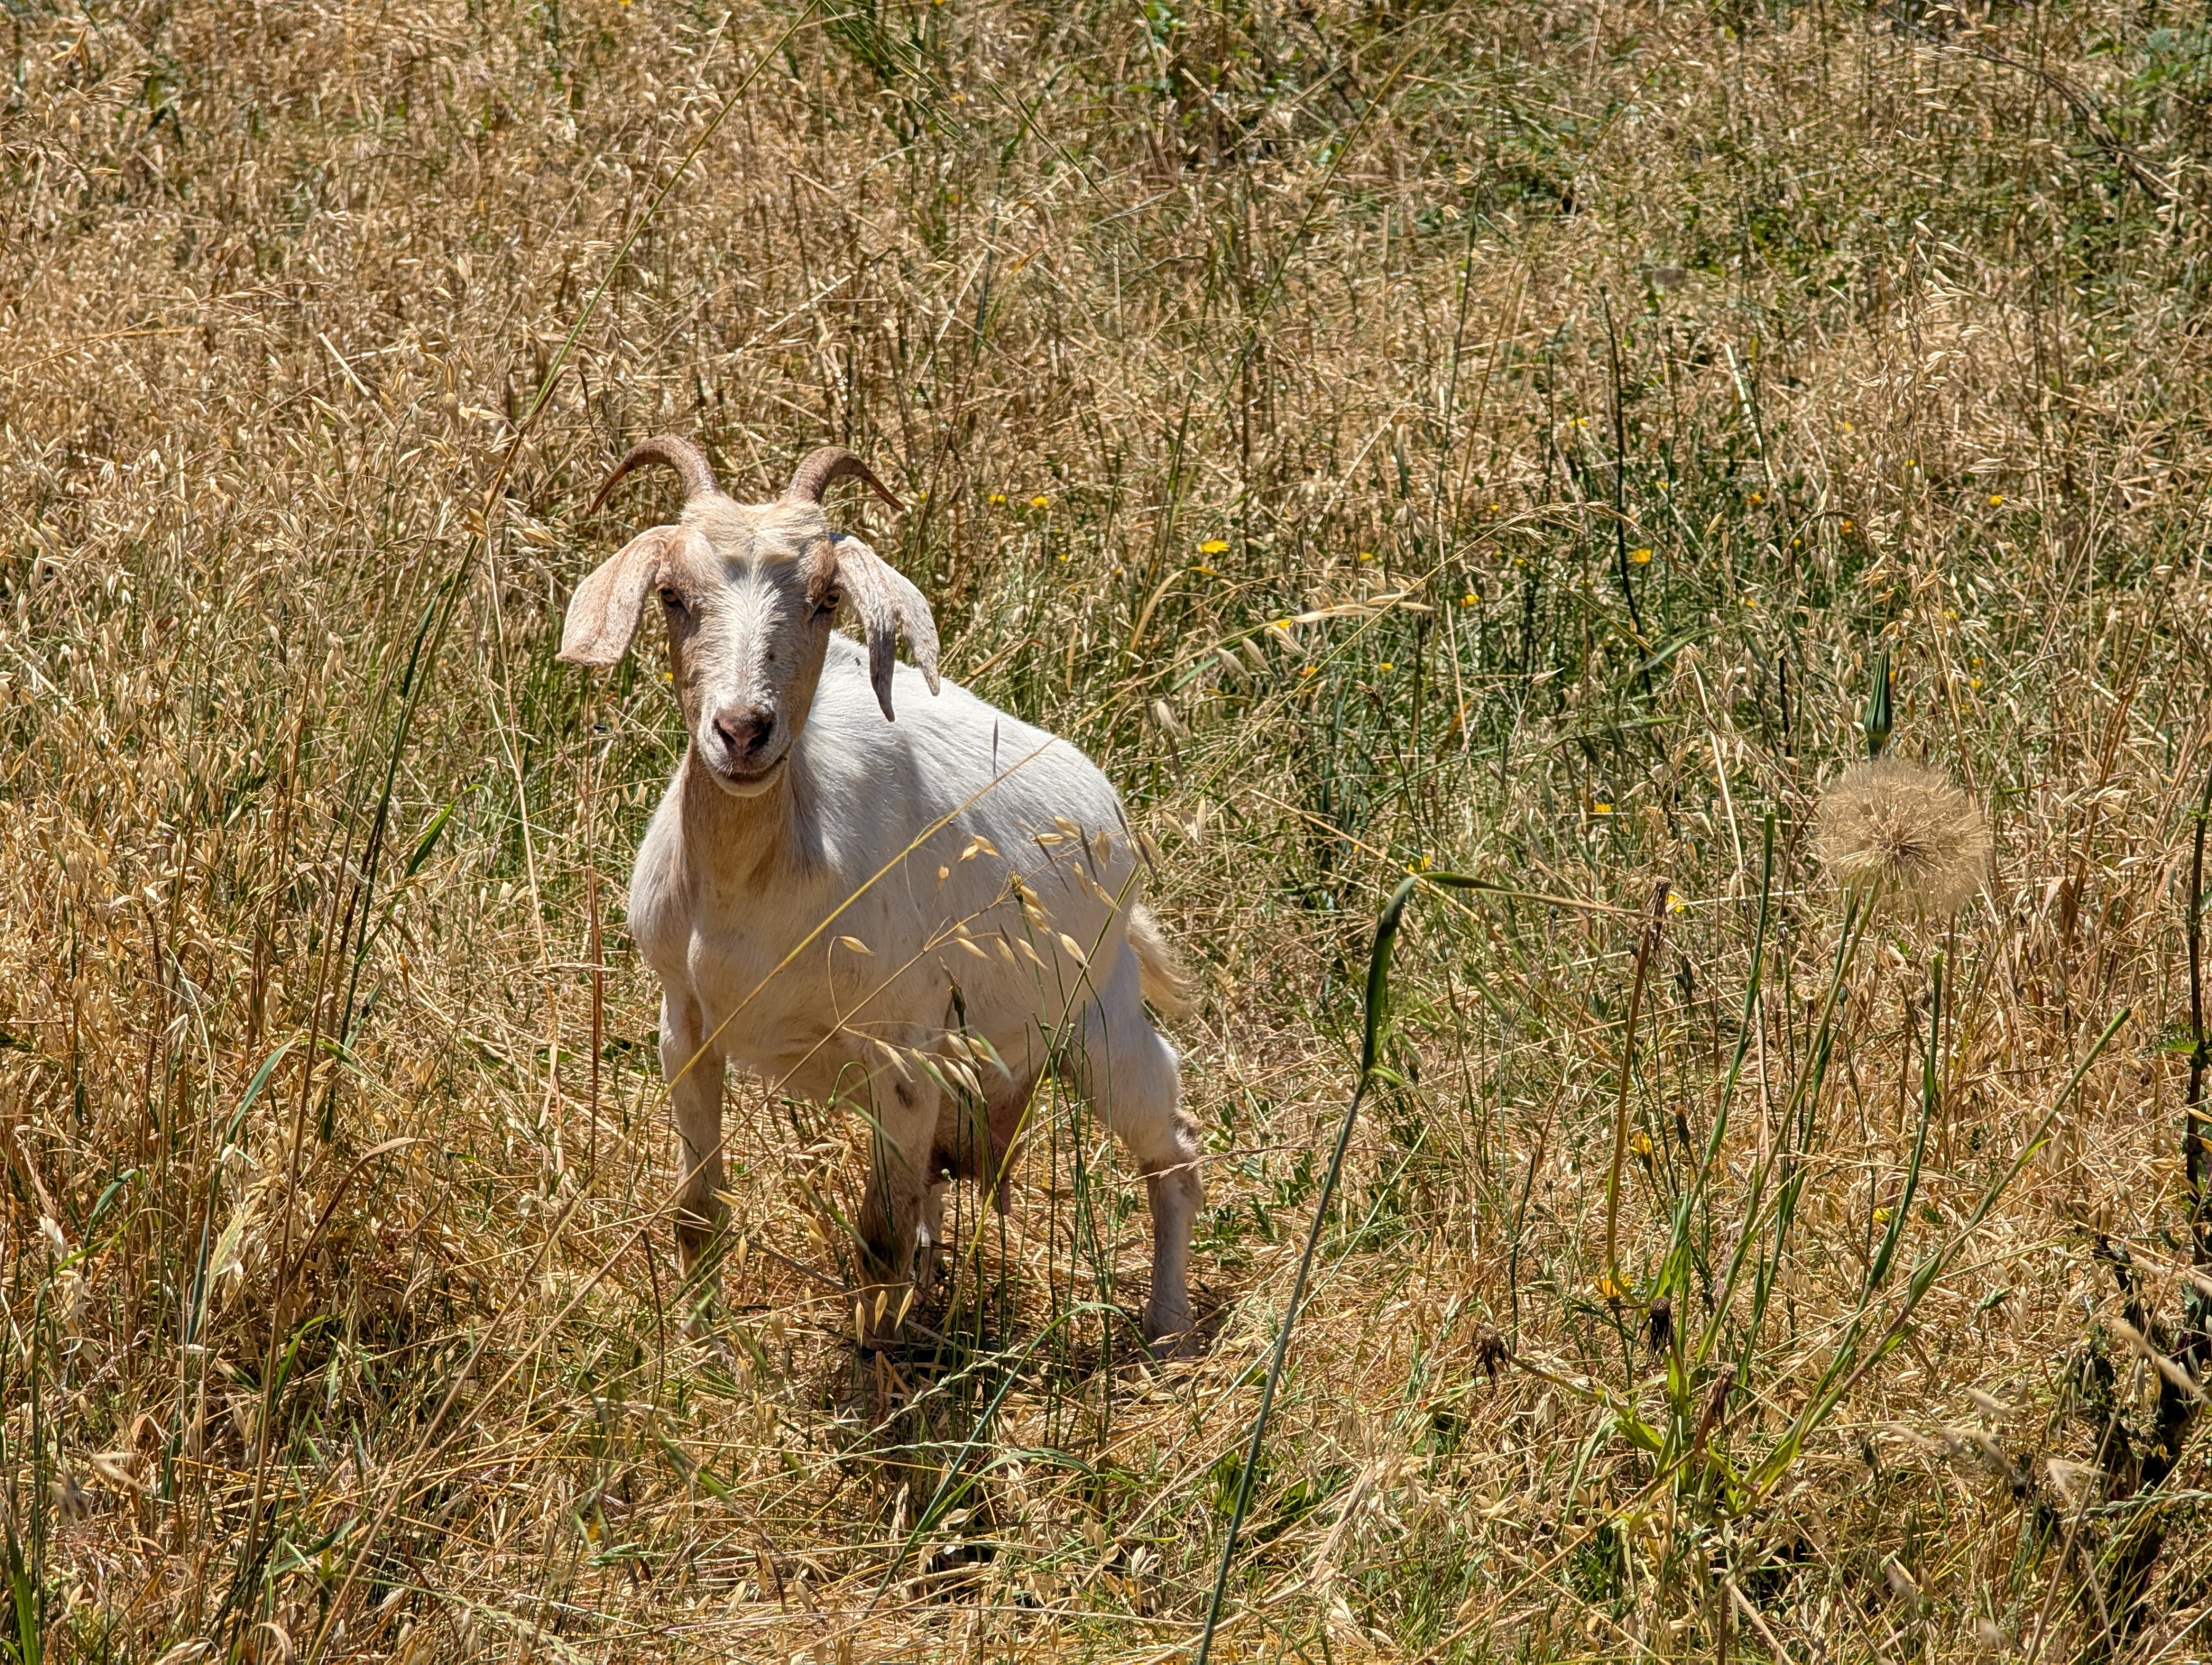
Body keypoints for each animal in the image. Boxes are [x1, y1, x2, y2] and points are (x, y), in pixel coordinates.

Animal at [559, 436, 1205, 1354]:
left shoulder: (901, 1049)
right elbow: (699, 1210)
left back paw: (1169, 1327)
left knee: (1172, 1143)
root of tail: (1110, 816)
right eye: (673, 595)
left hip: (1097, 1021)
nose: (742, 732)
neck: (754, 886)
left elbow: (877, 1236)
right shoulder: (684, 1023)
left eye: (827, 597)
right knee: (937, 1183)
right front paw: (699, 1345)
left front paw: (878, 1370)